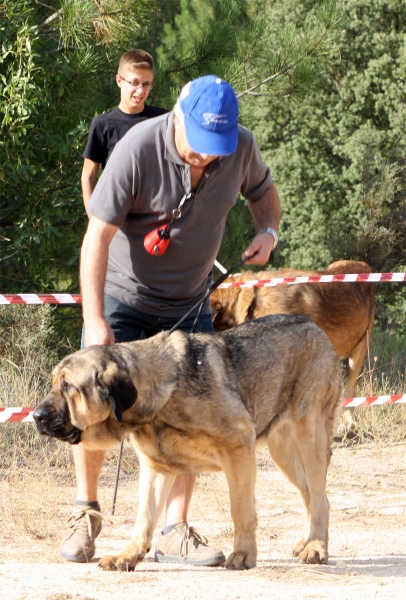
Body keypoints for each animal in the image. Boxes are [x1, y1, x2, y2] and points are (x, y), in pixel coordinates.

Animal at [33, 314, 342, 572]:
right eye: (55, 383)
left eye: (68, 386)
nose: (36, 416)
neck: (160, 397)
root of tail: (316, 327)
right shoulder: (156, 469)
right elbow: (144, 519)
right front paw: (127, 557)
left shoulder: (239, 452)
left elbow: (241, 510)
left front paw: (243, 555)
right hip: (284, 452)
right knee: (309, 494)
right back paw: (308, 542)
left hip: (310, 438)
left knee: (320, 498)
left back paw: (316, 548)